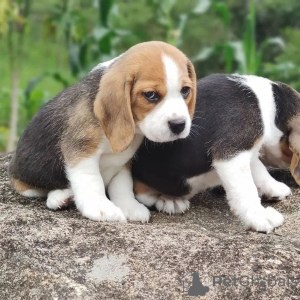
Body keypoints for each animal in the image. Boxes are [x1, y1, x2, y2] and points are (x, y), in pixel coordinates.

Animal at [8, 41, 197, 221]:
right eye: (150, 94)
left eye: (185, 91)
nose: (179, 125)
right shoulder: (81, 152)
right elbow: (92, 180)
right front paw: (100, 207)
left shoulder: (123, 159)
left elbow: (122, 185)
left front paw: (129, 206)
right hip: (27, 178)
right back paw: (60, 197)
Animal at [132, 73, 300, 232]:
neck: (269, 106)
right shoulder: (231, 153)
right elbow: (246, 188)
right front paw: (260, 216)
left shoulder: (245, 152)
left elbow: (259, 169)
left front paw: (274, 187)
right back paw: (171, 200)